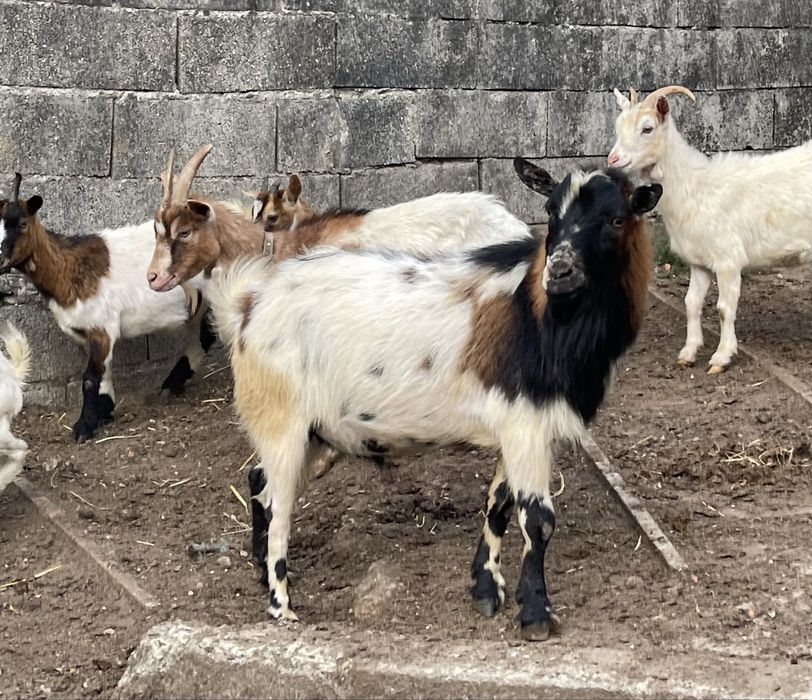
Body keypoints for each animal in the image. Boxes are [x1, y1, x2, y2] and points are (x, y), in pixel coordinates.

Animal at [0, 174, 214, 442]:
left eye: (22, 223)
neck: (70, 268)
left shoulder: (102, 327)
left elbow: (90, 379)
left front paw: (83, 426)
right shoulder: (92, 333)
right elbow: (104, 373)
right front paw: (104, 412)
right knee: (204, 335)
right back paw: (172, 383)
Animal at [205, 161, 661, 640]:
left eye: (617, 218)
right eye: (551, 211)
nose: (559, 273)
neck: (539, 317)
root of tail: (248, 306)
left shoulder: (519, 425)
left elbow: (498, 505)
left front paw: (487, 588)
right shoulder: (526, 424)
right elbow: (537, 518)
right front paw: (536, 613)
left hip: (311, 431)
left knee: (261, 483)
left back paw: (262, 572)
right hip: (281, 418)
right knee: (279, 507)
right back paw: (281, 606)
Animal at [608, 85, 812, 373]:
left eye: (647, 128)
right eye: (618, 126)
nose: (613, 158)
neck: (696, 187)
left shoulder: (728, 259)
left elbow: (724, 308)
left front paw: (721, 357)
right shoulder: (699, 262)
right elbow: (691, 304)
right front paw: (689, 351)